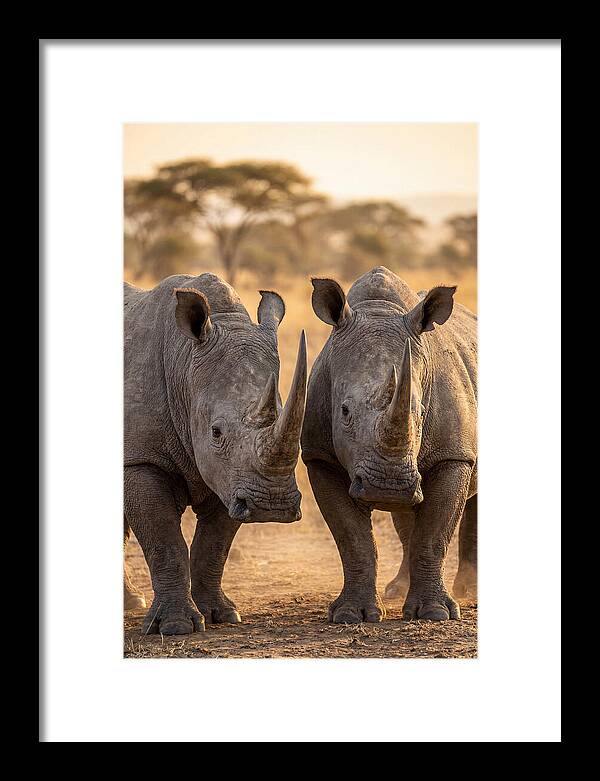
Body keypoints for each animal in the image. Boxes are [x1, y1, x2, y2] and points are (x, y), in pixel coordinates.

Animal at [123, 273, 307, 635]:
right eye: (216, 432)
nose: (272, 506)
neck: (184, 364)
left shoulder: (232, 476)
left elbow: (214, 544)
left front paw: (221, 615)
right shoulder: (140, 458)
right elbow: (164, 540)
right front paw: (176, 626)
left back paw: (131, 602)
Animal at [301, 266, 477, 622]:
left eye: (420, 411)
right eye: (344, 411)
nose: (388, 486)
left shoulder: (454, 455)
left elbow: (434, 535)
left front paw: (436, 614)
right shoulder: (320, 457)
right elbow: (353, 540)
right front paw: (351, 615)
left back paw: (469, 591)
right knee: (407, 516)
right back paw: (397, 589)